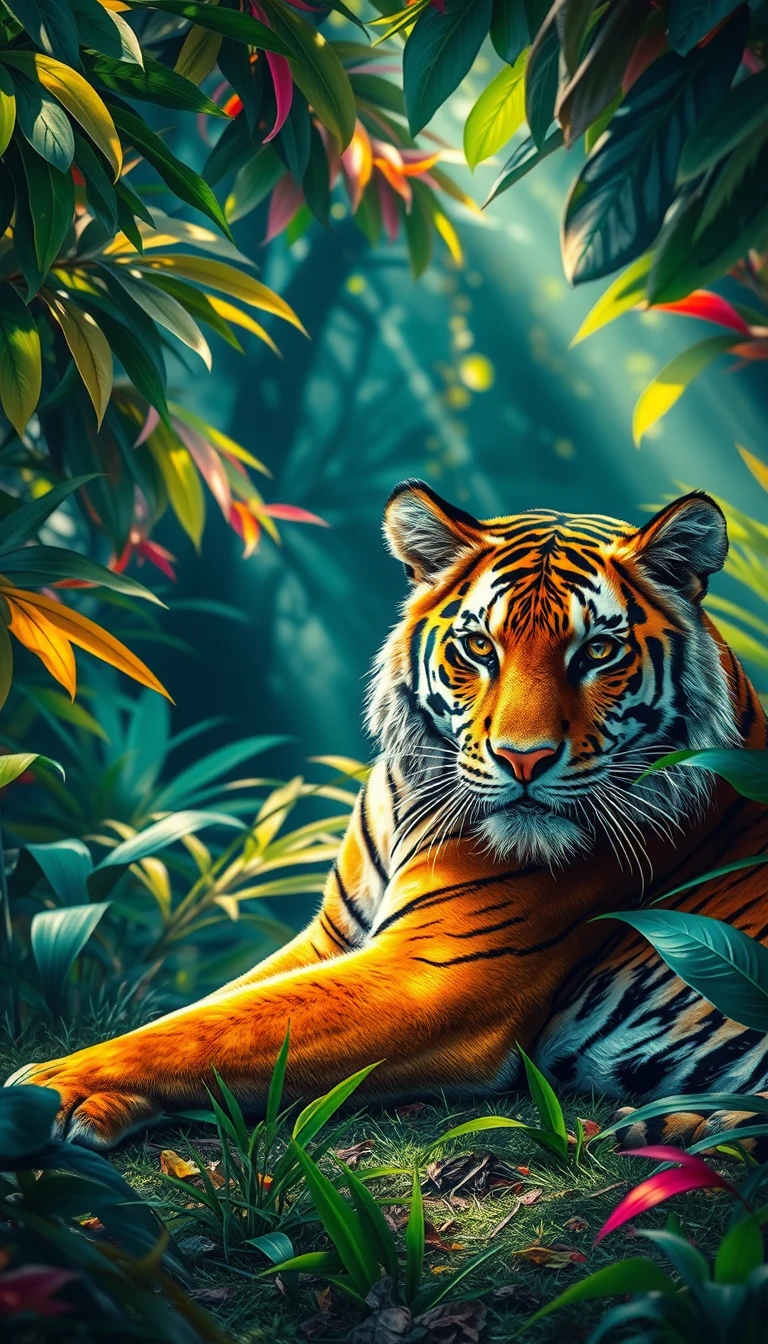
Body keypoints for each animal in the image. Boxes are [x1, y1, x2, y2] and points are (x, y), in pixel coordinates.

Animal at [8, 481, 768, 1152]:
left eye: (599, 652)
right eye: (480, 648)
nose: (522, 760)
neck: (414, 798)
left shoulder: (433, 973)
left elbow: (210, 1029)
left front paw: (43, 1087)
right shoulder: (331, 939)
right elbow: (206, 1010)